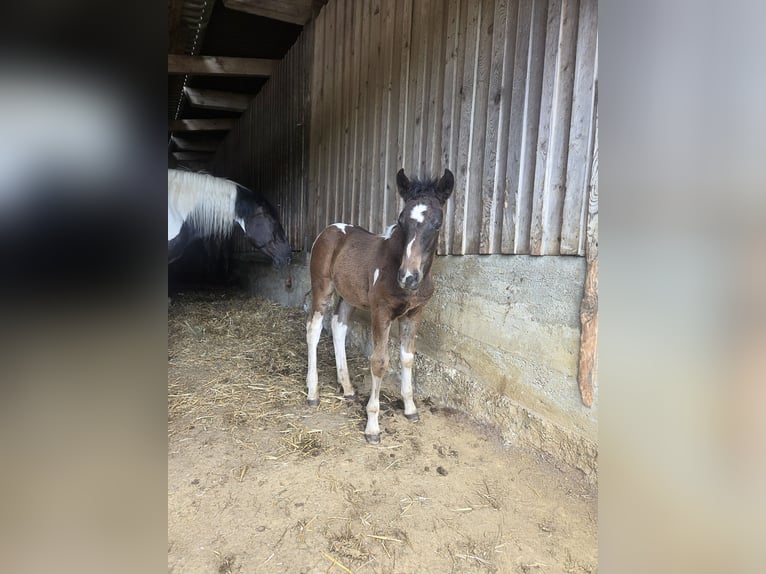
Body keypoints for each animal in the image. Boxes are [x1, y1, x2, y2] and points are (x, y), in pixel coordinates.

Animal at [306, 168, 454, 444]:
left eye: (437, 223)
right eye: (401, 221)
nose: (408, 277)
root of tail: (329, 229)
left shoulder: (414, 313)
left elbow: (407, 358)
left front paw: (410, 408)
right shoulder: (381, 312)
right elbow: (380, 362)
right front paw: (372, 426)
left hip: (349, 295)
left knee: (338, 326)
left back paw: (348, 387)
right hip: (323, 287)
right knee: (314, 328)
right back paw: (313, 392)